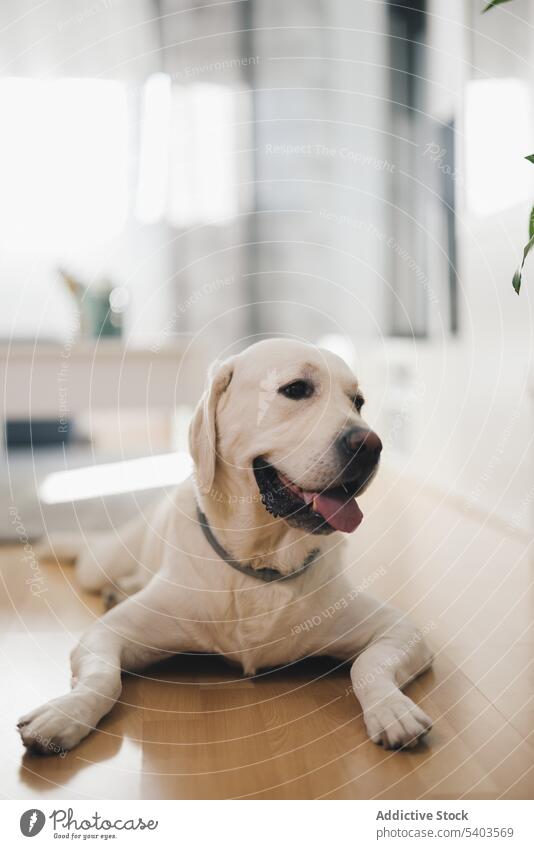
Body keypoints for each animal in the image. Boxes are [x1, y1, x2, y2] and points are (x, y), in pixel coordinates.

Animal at [17, 338, 436, 748]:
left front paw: (392, 709)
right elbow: (102, 678)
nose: (370, 444)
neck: (260, 562)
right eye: (296, 389)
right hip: (102, 561)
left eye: (358, 402)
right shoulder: (104, 633)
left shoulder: (400, 629)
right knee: (90, 554)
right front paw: (65, 714)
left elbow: (369, 665)